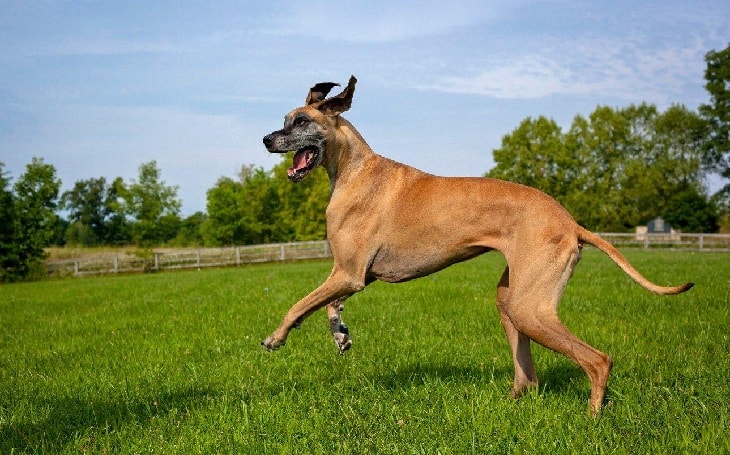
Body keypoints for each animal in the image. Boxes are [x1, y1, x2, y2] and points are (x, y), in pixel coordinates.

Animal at [258, 76, 692, 416]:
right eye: (285, 121)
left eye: (301, 121)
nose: (265, 139)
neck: (353, 169)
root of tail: (570, 222)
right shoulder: (354, 274)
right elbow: (329, 305)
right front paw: (340, 333)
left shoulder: (348, 272)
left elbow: (298, 306)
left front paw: (276, 338)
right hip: (511, 300)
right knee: (529, 377)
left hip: (530, 308)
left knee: (598, 361)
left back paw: (593, 417)